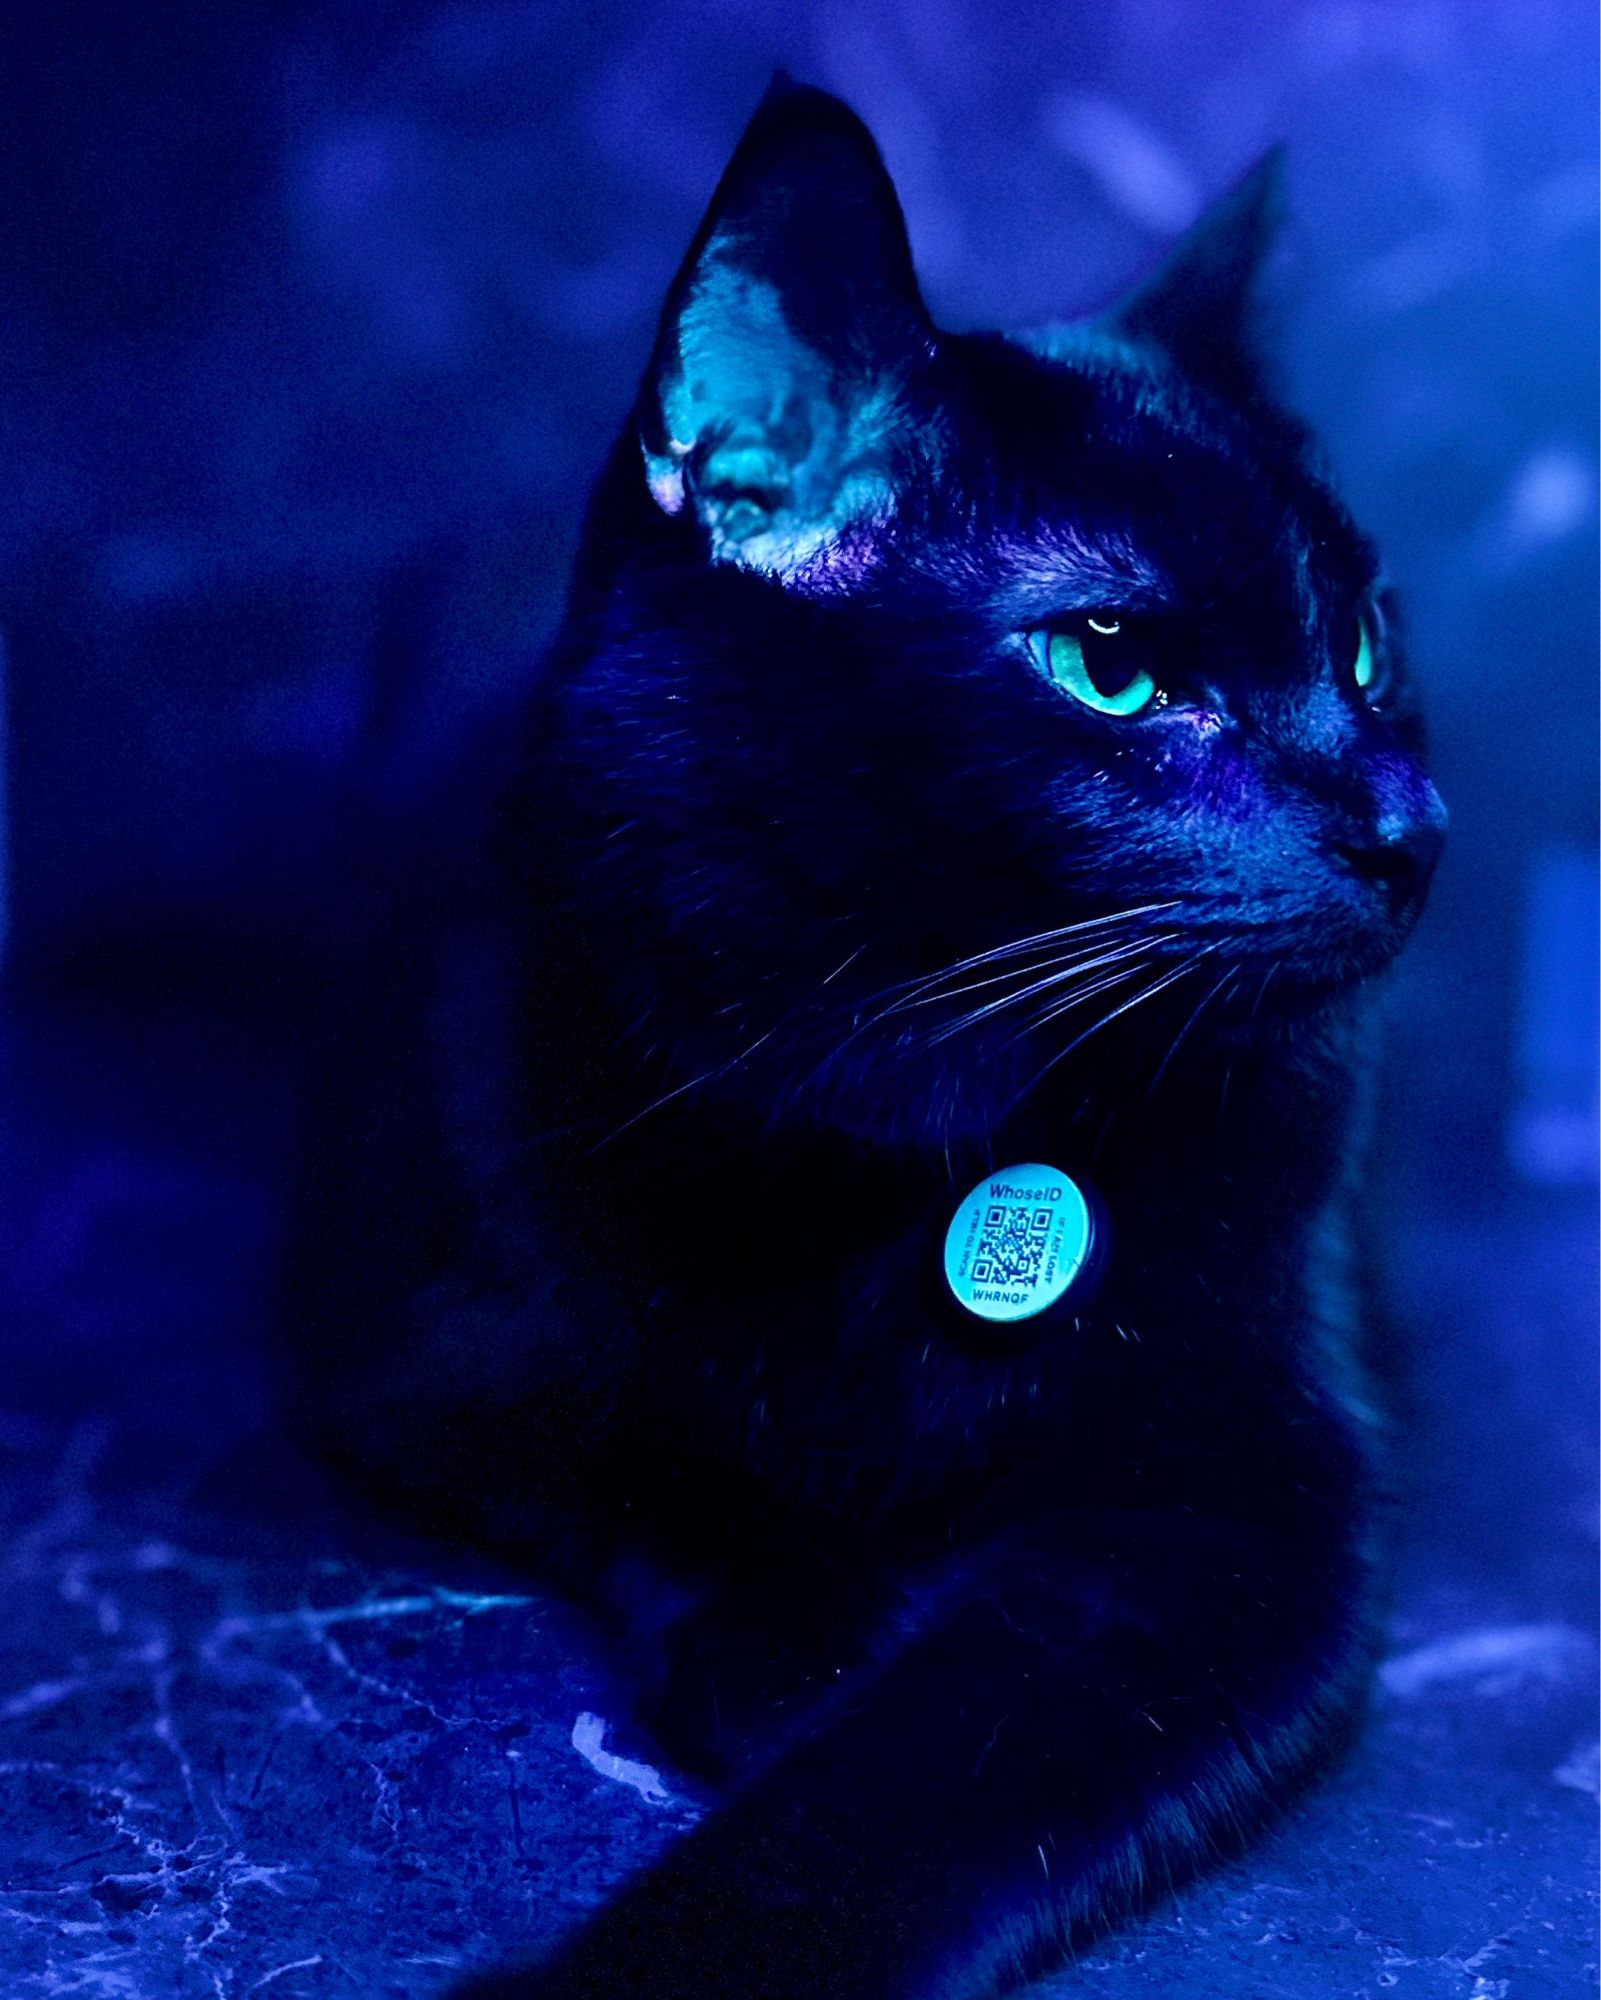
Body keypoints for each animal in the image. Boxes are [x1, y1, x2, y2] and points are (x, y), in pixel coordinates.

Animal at [288, 82, 1448, 2000]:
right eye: (1113, 664)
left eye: (1364, 642)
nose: (1409, 828)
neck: (900, 1097)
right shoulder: (416, 1334)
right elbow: (641, 1446)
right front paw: (800, 1635)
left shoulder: (1233, 1504)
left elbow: (896, 1797)